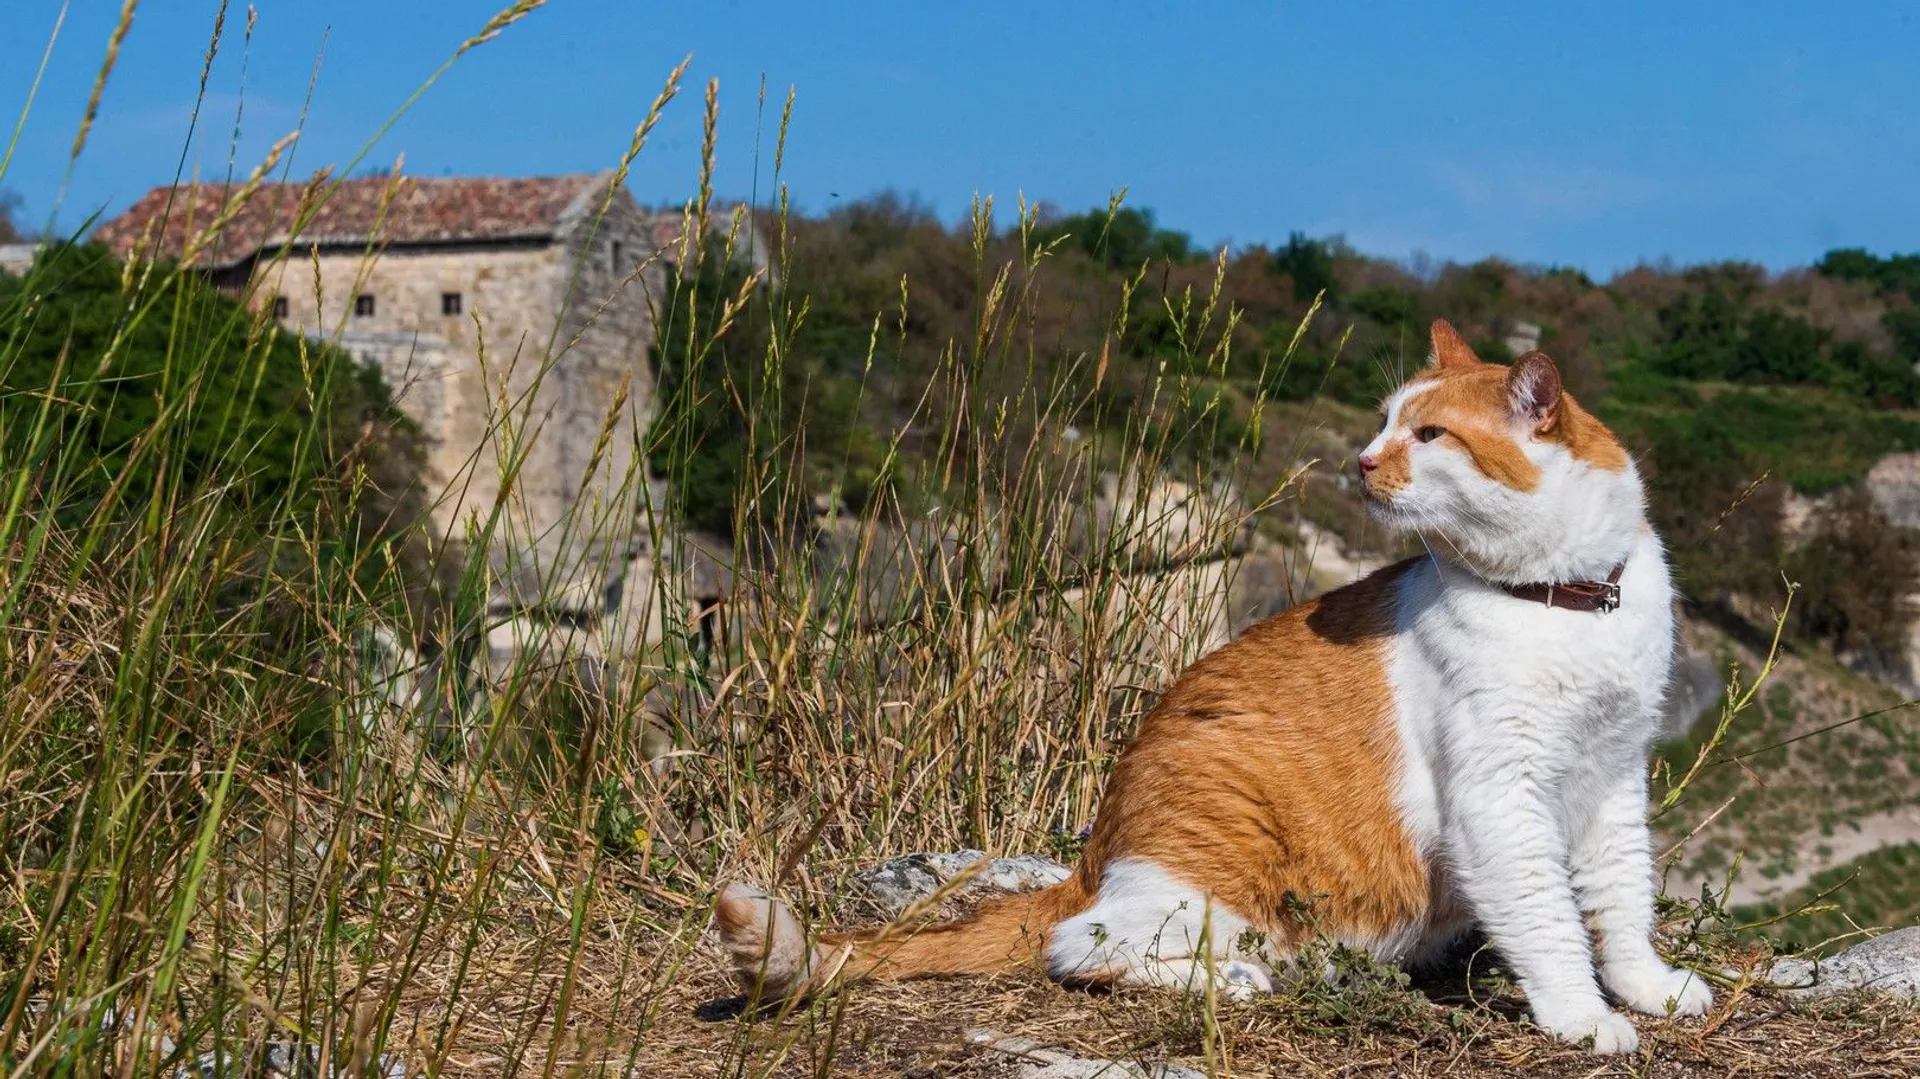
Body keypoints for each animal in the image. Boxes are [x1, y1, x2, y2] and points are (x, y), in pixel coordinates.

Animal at [721, 318, 1712, 1052]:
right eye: (1384, 422)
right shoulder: (1500, 798)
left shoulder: (1613, 779)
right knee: (1080, 945)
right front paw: (1582, 1015)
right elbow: (1548, 918)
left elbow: (1621, 901)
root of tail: (1091, 858)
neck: (1567, 600)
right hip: (1212, 865)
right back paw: (1242, 976)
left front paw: (1646, 987)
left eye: (1430, 435)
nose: (1360, 462)